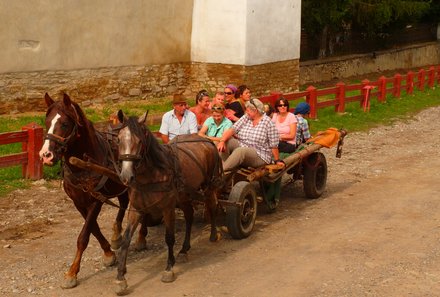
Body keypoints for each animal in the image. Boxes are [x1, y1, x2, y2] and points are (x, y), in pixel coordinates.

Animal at [114, 110, 223, 294]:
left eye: (140, 141)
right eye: (119, 139)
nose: (126, 176)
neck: (152, 175)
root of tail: (207, 141)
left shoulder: (167, 208)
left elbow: (169, 238)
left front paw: (168, 268)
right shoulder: (136, 209)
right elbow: (126, 239)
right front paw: (121, 277)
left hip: (209, 186)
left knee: (212, 206)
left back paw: (214, 234)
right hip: (185, 195)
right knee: (189, 216)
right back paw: (185, 249)